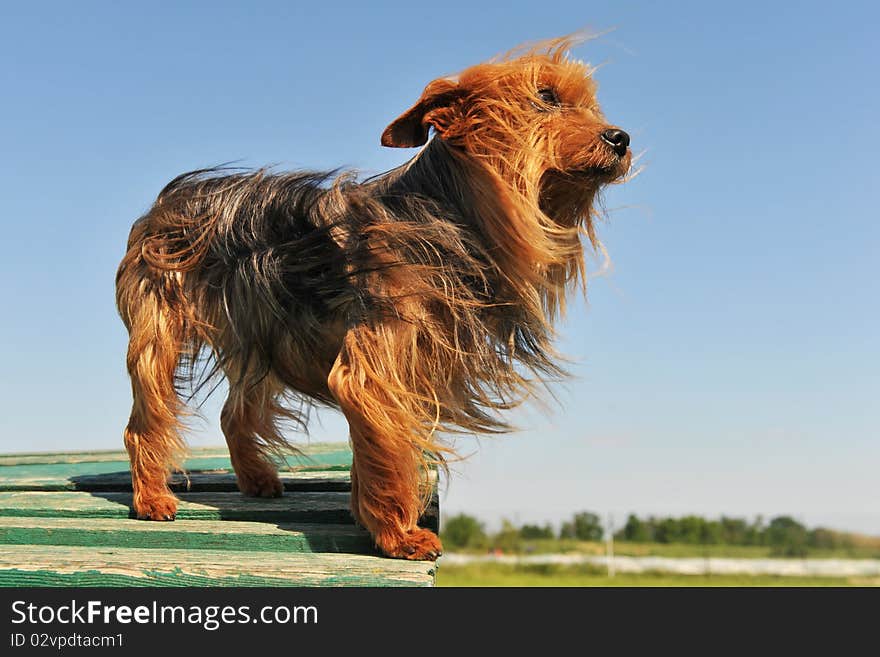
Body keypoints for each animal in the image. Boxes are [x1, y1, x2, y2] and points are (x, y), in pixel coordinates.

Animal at [117, 36, 628, 560]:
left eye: (591, 106)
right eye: (545, 97)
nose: (621, 138)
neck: (448, 211)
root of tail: (169, 198)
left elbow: (379, 445)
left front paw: (372, 517)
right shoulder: (373, 368)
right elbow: (388, 446)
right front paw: (398, 535)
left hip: (265, 334)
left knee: (234, 413)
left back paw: (257, 479)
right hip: (161, 328)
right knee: (144, 415)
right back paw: (151, 497)